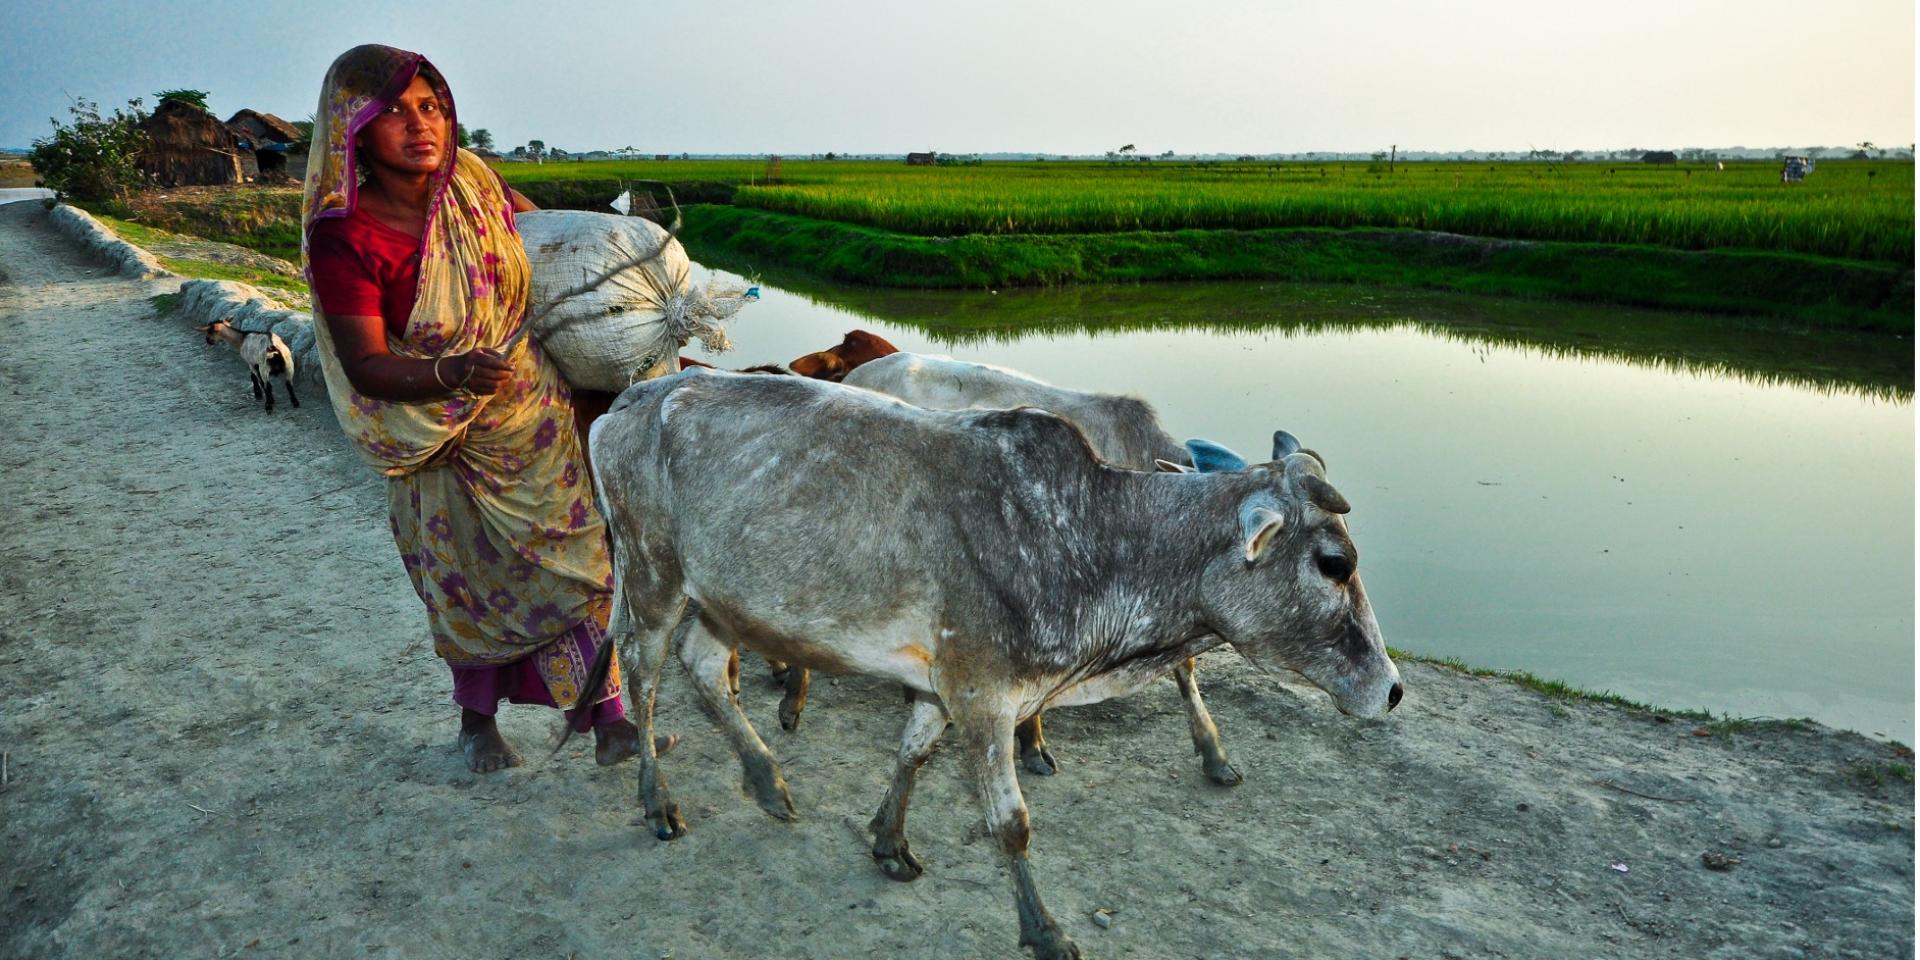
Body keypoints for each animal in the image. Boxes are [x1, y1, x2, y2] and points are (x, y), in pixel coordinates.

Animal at [575, 368, 1400, 960]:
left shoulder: (945, 683)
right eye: (1334, 563)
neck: (1093, 537)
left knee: (705, 669)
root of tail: (638, 394)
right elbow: (1011, 824)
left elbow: (911, 754)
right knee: (643, 681)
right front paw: (1046, 932)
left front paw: (888, 842)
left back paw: (766, 781)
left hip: (720, 600)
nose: (1391, 689)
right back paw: (658, 801)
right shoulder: (983, 692)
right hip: (650, 577)